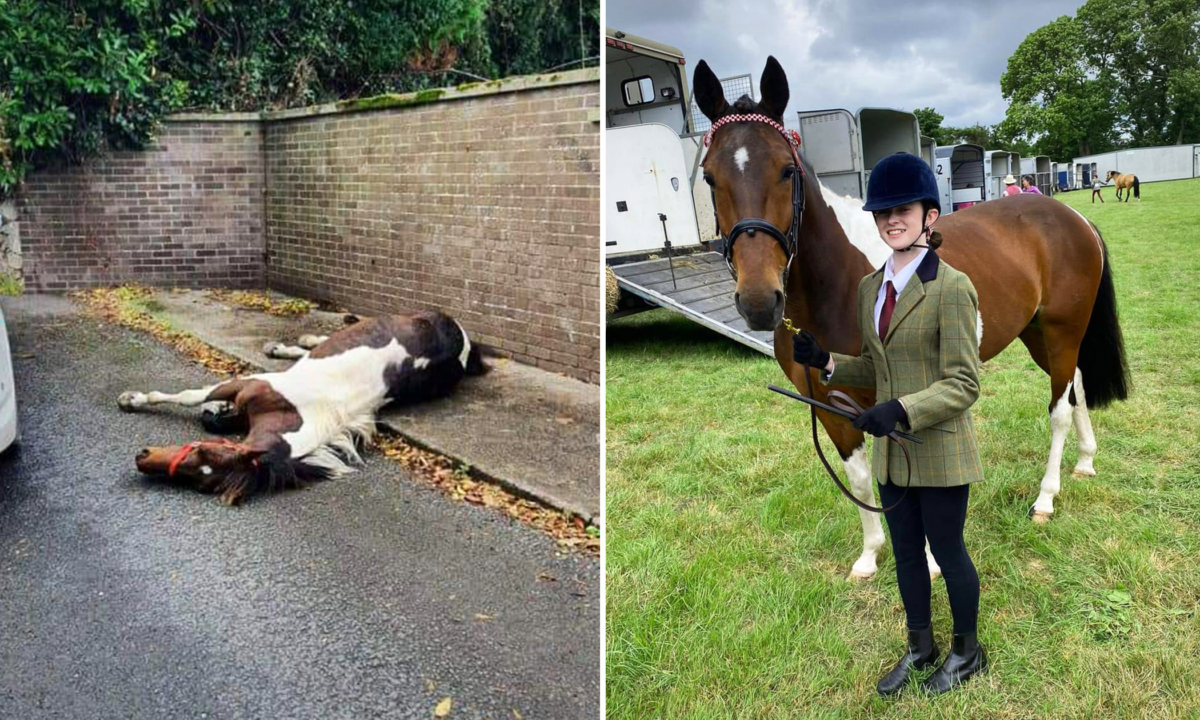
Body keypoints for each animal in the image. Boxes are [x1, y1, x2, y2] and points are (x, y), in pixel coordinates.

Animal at [118, 310, 487, 505]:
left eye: (202, 460)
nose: (142, 458)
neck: (293, 414)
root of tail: (461, 337)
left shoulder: (250, 384)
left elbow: (192, 398)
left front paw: (132, 399)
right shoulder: (247, 384)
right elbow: (198, 401)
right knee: (322, 341)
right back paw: (290, 345)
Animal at [693, 56, 1130, 580]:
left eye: (786, 170)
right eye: (709, 178)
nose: (760, 301)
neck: (836, 283)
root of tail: (1072, 217)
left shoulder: (898, 397)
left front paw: (928, 562)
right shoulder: (831, 404)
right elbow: (861, 478)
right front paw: (869, 556)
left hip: (1063, 330)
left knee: (1060, 408)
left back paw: (1046, 499)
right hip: (1038, 334)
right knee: (1077, 383)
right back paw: (1084, 463)